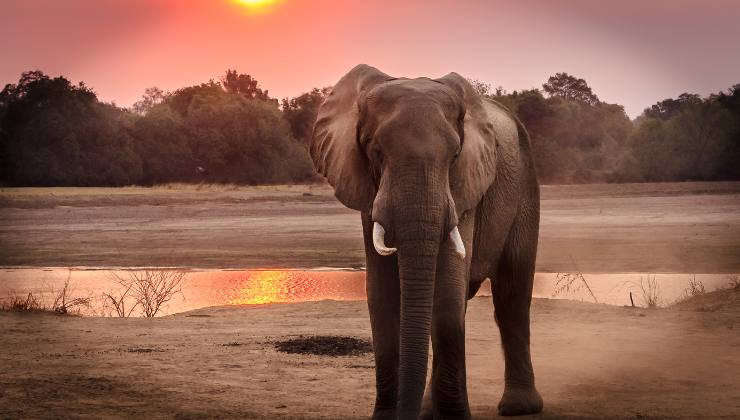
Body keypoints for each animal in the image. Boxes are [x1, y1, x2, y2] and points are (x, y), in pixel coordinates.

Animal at [310, 64, 542, 419]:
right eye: (375, 152)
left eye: (455, 155)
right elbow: (382, 295)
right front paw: (387, 417)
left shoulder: (466, 186)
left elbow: (446, 293)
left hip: (526, 186)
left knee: (512, 295)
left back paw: (519, 407)